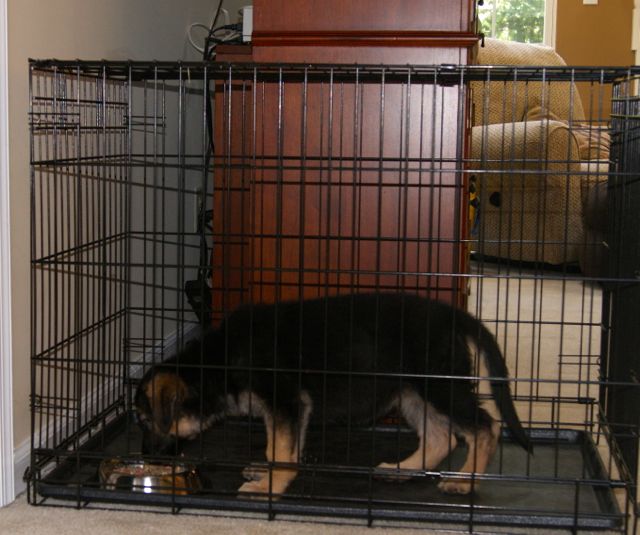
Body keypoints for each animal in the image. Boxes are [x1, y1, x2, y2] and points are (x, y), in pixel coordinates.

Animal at [135, 294, 528, 498]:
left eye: (145, 420)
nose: (145, 456)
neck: (220, 361)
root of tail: (453, 314)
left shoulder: (286, 401)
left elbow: (281, 451)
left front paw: (271, 486)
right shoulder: (286, 409)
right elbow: (279, 447)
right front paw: (267, 472)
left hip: (439, 385)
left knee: (485, 427)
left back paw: (464, 481)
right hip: (412, 393)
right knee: (439, 436)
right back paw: (402, 470)